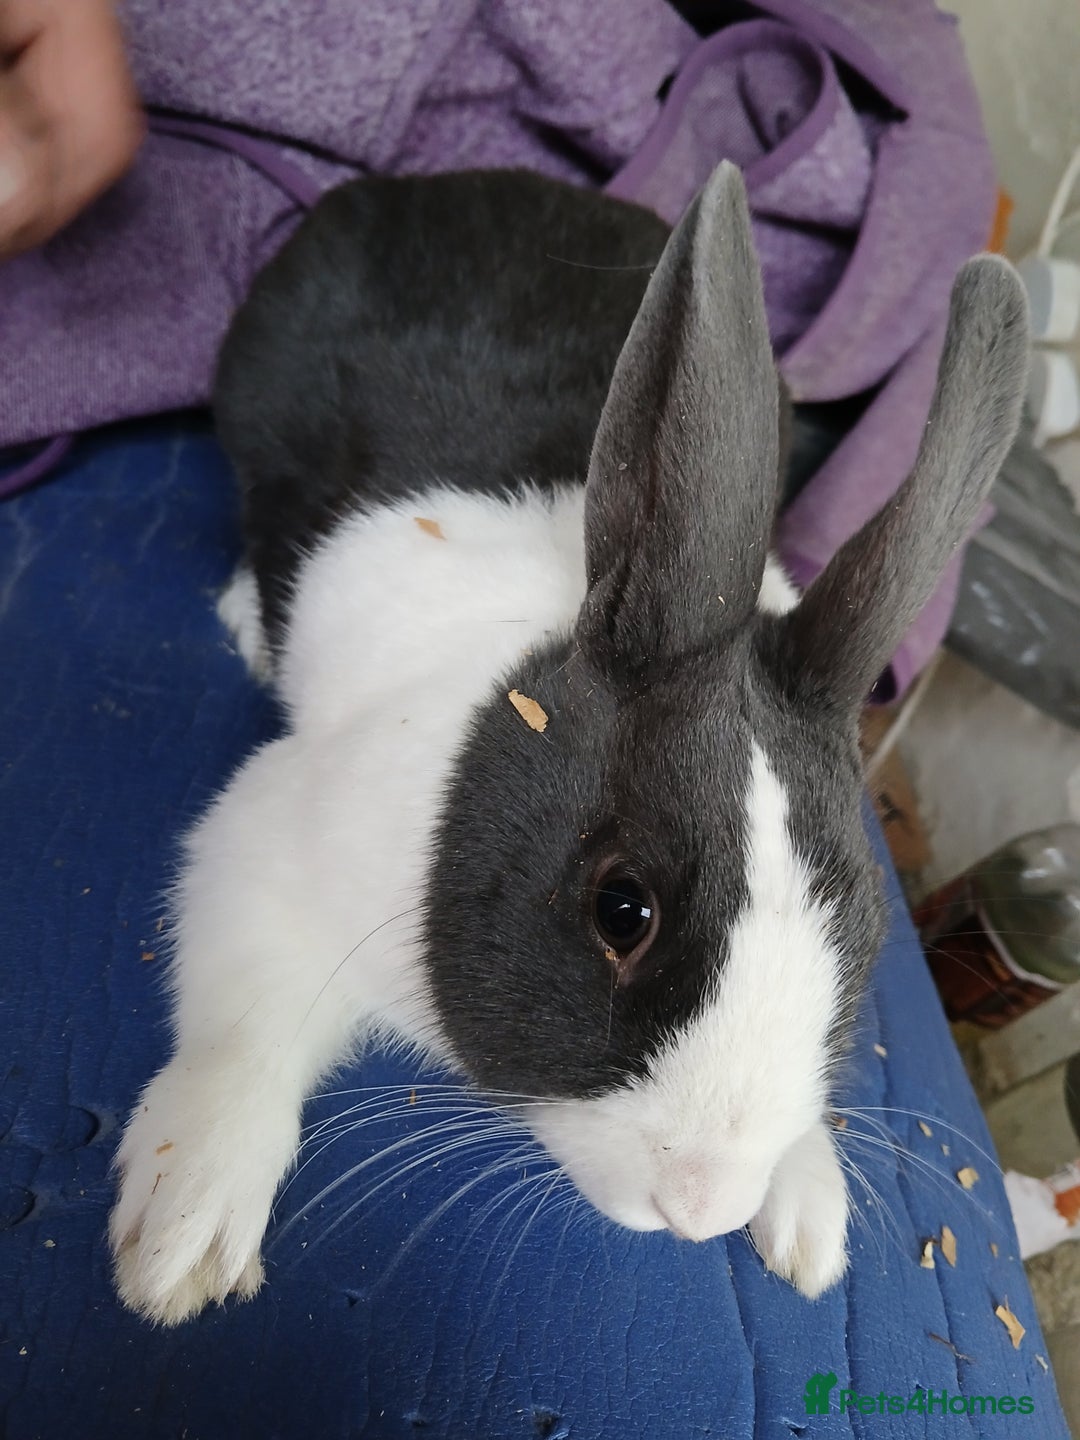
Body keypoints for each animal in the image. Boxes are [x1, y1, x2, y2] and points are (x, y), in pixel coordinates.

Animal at [109, 162, 1029, 1325]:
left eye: (861, 933)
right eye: (620, 910)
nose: (700, 1206)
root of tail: (441, 184)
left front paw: (807, 1220)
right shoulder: (264, 860)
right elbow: (239, 1046)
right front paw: (182, 1236)